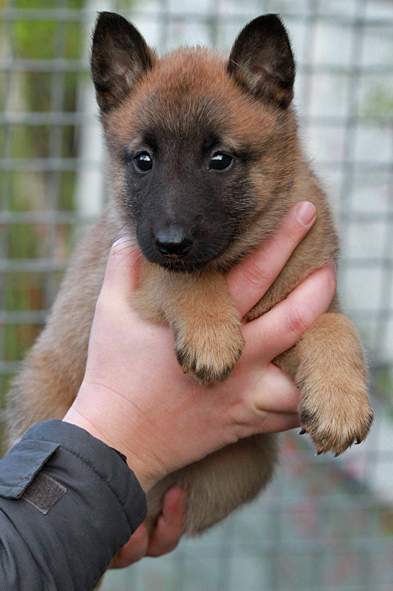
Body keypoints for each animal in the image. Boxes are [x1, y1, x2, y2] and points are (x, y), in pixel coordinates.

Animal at [7, 11, 372, 536]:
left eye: (220, 159)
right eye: (144, 160)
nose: (172, 241)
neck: (239, 255)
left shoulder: (306, 306)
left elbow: (335, 325)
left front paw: (341, 400)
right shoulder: (138, 260)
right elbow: (181, 276)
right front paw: (211, 333)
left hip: (247, 464)